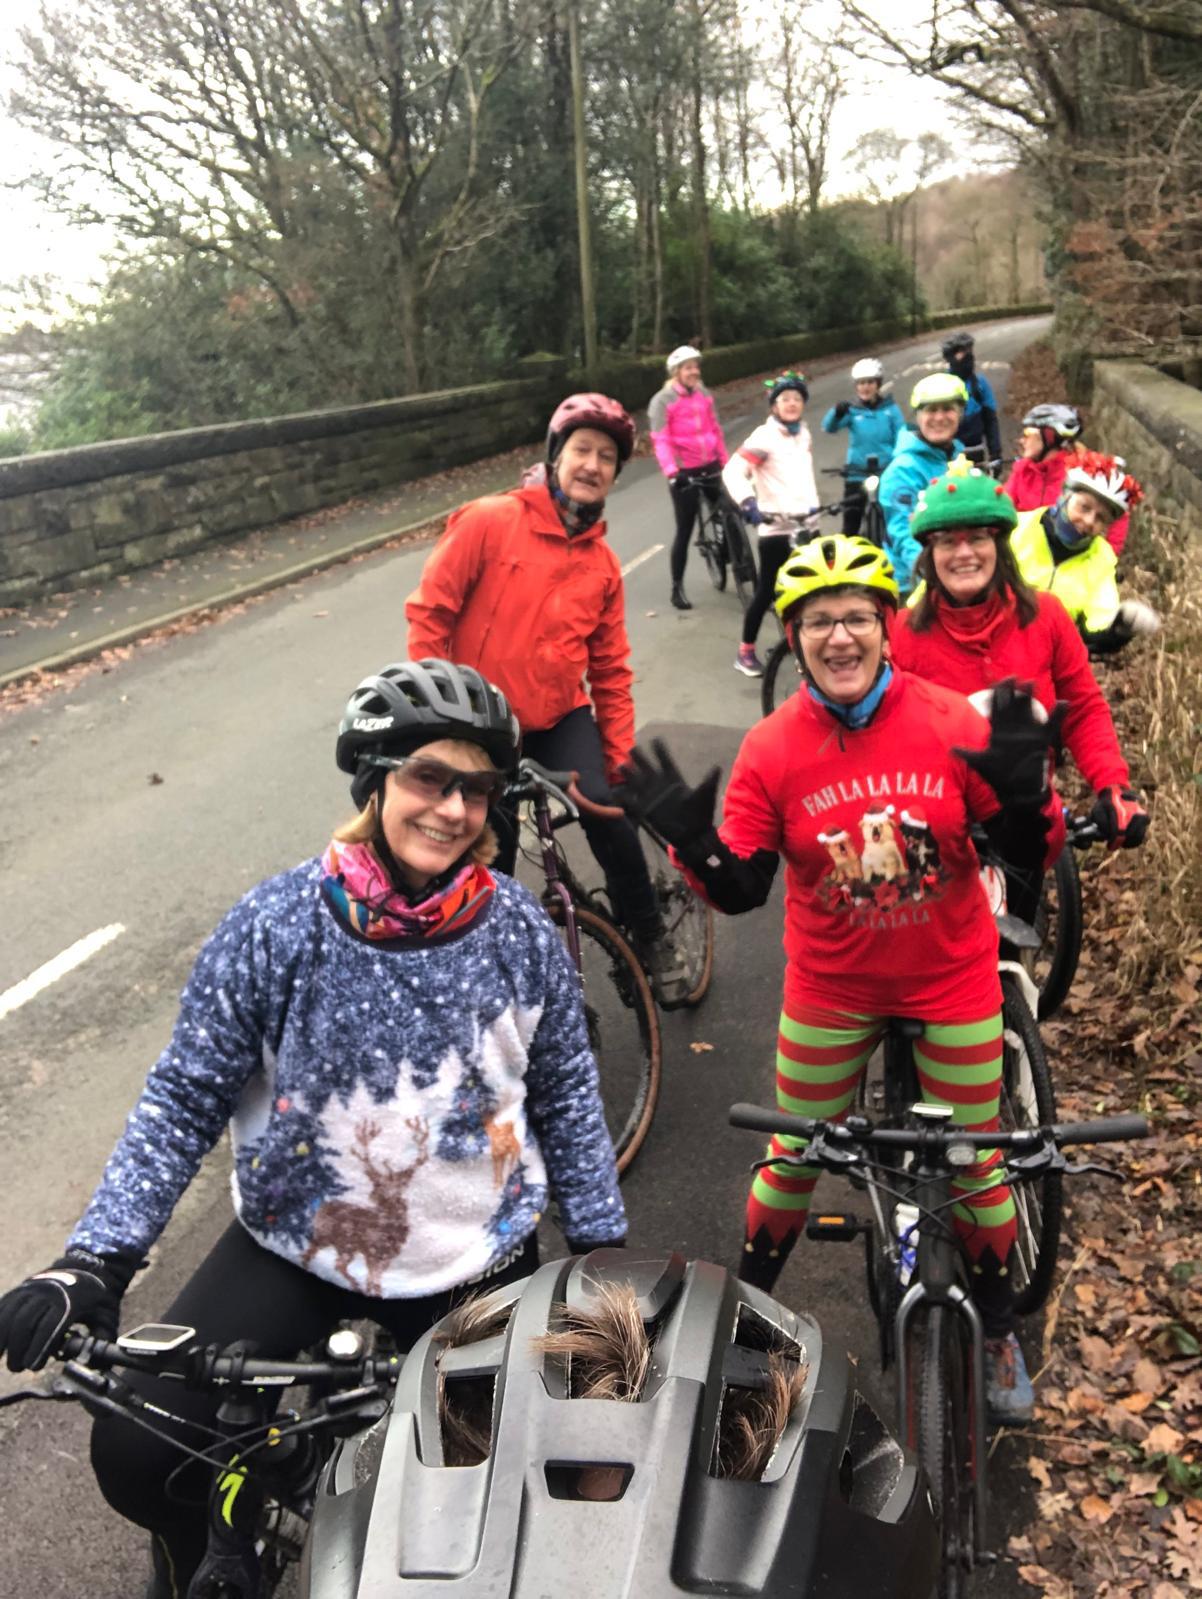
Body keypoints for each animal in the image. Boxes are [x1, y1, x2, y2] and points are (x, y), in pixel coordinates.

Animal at [302, 1116, 429, 1295]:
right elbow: (373, 1280)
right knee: (333, 1262)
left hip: (336, 1242)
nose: (375, 1196)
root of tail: (321, 1208)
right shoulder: (373, 1250)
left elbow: (375, 1281)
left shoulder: (387, 1256)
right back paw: (354, 1284)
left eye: (402, 1184)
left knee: (320, 1256)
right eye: (377, 1183)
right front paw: (371, 1290)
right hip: (340, 1240)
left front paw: (375, 1290)